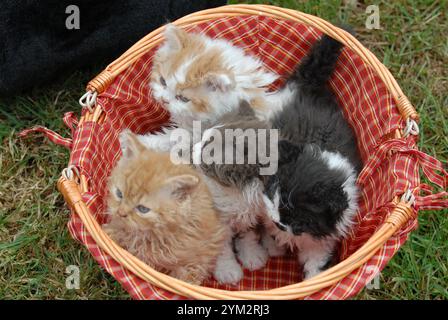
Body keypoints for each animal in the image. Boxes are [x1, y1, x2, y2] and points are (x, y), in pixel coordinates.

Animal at [103, 131, 226, 284]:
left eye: (143, 209)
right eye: (119, 194)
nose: (121, 213)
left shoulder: (197, 259)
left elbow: (187, 276)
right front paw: (110, 233)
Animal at [264, 31, 362, 278]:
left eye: (302, 218)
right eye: (273, 195)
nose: (278, 222)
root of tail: (308, 85)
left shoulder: (323, 240)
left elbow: (316, 263)